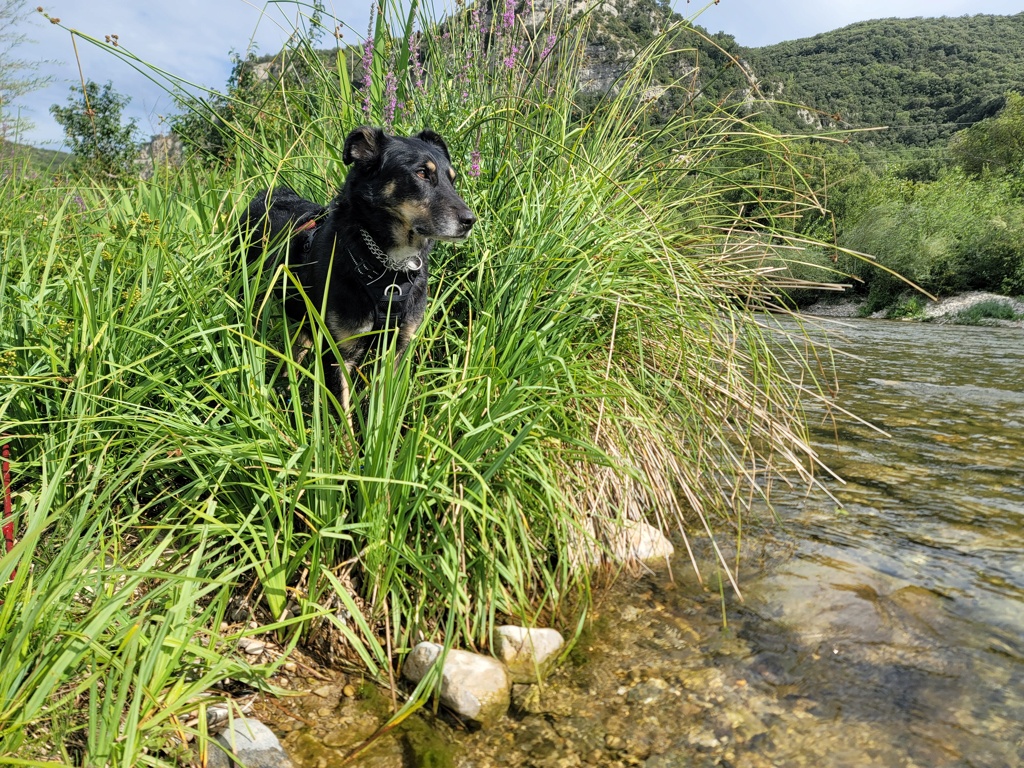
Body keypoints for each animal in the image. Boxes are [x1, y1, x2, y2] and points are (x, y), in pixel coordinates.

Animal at [237, 126, 477, 415]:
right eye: (421, 173)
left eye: (452, 179)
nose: (470, 221)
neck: (388, 268)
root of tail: (265, 194)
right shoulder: (338, 353)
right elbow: (343, 415)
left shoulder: (397, 348)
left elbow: (381, 410)